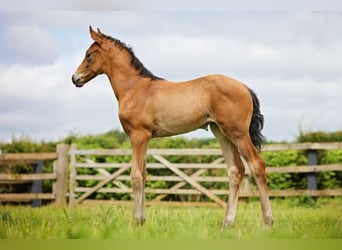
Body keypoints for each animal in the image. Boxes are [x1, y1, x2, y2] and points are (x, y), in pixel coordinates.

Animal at [71, 26, 272, 228]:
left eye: (88, 54)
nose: (75, 78)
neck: (135, 88)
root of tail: (245, 87)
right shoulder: (145, 138)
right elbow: (144, 174)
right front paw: (142, 220)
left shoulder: (138, 135)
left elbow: (136, 175)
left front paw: (135, 221)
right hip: (222, 133)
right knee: (236, 170)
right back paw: (227, 223)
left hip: (238, 133)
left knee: (257, 164)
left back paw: (267, 221)